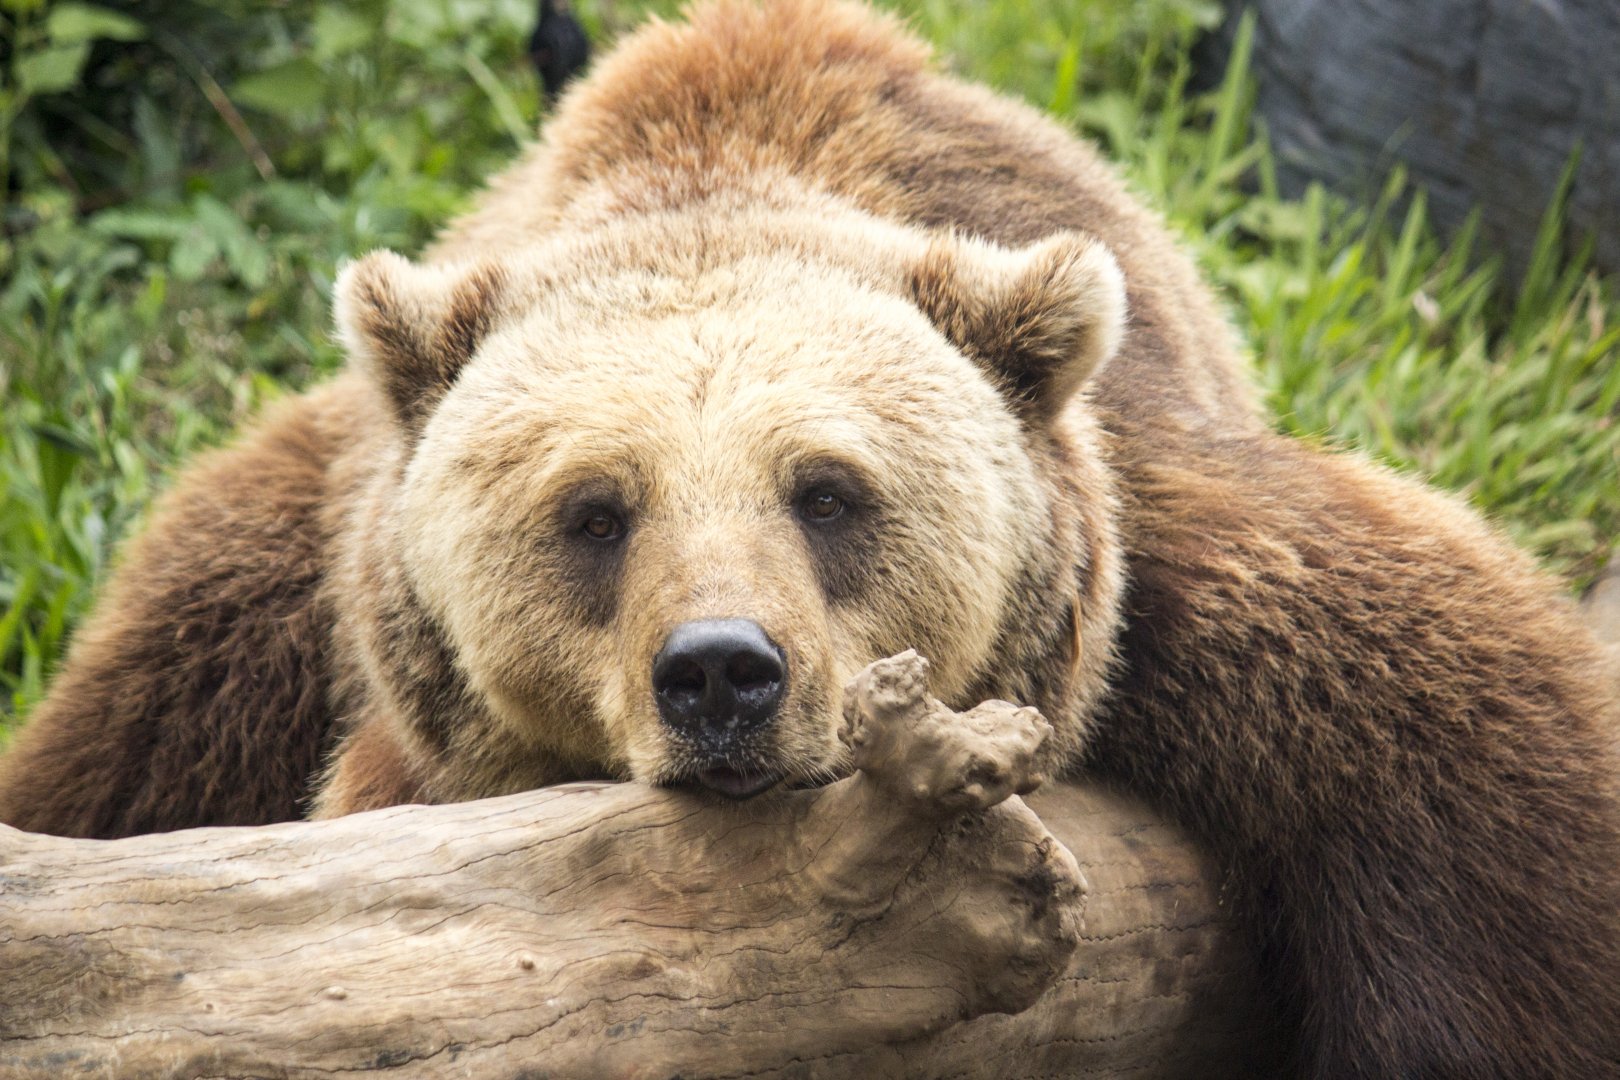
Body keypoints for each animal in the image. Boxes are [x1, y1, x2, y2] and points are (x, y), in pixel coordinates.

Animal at [1, 0, 1617, 1075]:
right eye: (596, 512)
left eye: (827, 491)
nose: (724, 673)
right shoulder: (412, 776)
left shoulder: (1205, 592)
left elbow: (1486, 842)